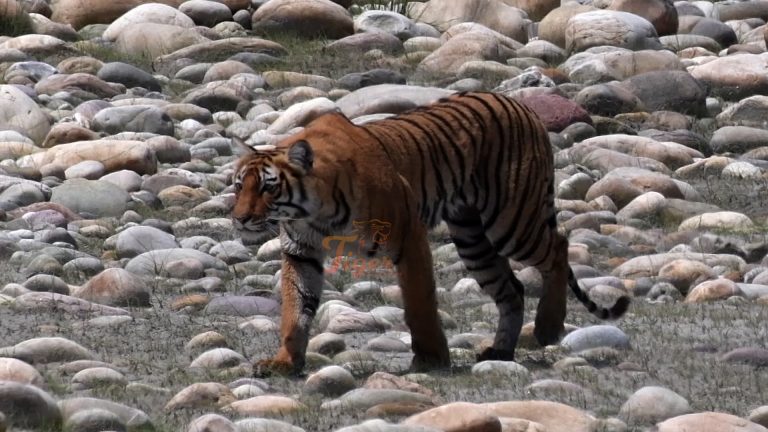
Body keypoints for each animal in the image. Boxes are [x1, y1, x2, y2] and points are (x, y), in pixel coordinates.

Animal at [231, 91, 630, 375]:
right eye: (239, 186)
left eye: (267, 187)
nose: (239, 218)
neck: (314, 213)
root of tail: (524, 106)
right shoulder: (301, 252)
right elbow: (295, 308)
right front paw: (284, 361)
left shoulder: (408, 237)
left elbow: (419, 302)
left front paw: (431, 358)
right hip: (473, 239)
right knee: (512, 289)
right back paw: (500, 351)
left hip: (512, 222)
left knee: (558, 248)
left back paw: (548, 327)